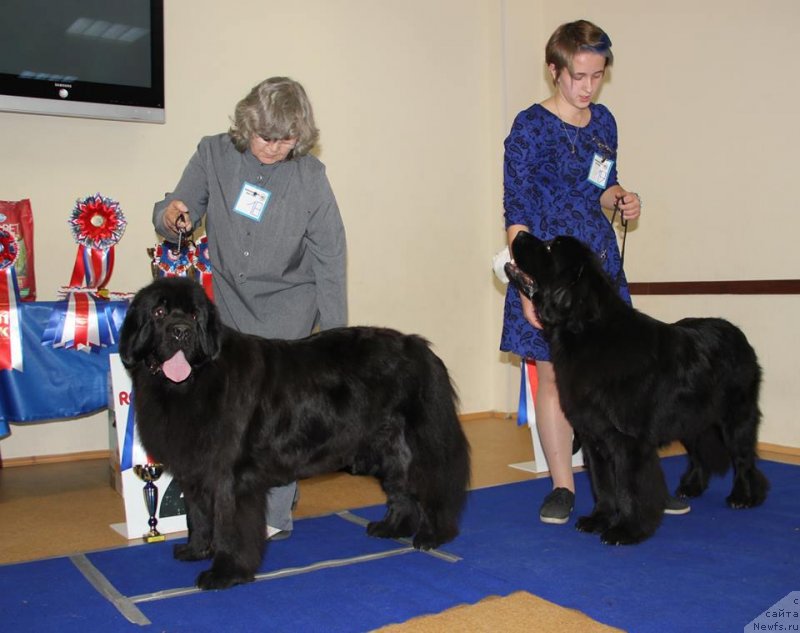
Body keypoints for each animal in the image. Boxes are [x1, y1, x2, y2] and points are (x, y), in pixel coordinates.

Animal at [118, 276, 468, 588]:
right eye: (159, 312)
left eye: (193, 315)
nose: (181, 331)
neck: (194, 381)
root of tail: (421, 348)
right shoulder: (194, 470)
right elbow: (198, 515)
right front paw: (195, 550)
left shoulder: (230, 477)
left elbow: (229, 525)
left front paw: (226, 572)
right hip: (387, 447)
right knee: (401, 490)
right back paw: (393, 527)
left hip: (417, 445)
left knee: (434, 488)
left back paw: (432, 536)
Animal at [506, 232, 768, 544]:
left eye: (549, 248)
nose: (520, 234)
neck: (586, 334)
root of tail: (737, 333)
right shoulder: (593, 435)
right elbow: (603, 486)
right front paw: (599, 519)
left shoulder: (628, 440)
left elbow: (629, 488)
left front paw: (627, 530)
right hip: (691, 420)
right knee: (698, 454)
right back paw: (691, 487)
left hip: (735, 416)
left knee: (743, 457)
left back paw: (745, 496)